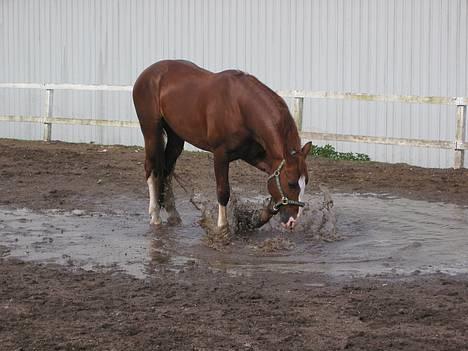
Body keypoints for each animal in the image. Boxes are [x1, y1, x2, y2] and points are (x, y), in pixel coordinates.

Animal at [133, 60, 310, 231]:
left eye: (305, 182)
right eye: (291, 183)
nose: (293, 222)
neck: (240, 107)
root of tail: (147, 74)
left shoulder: (256, 156)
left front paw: (254, 220)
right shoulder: (220, 154)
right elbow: (223, 191)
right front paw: (222, 227)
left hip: (176, 137)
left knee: (167, 170)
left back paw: (173, 215)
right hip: (151, 131)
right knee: (151, 168)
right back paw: (155, 216)